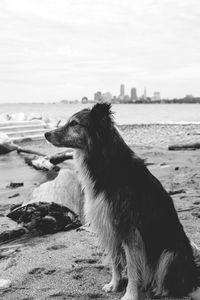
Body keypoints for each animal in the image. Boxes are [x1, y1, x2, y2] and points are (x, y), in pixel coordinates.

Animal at [45, 103, 200, 300]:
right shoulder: (108, 226)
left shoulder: (129, 230)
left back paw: (159, 290)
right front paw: (115, 284)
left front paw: (130, 294)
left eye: (74, 123)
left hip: (170, 254)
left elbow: (133, 268)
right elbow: (115, 261)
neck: (106, 162)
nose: (45, 134)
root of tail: (194, 273)